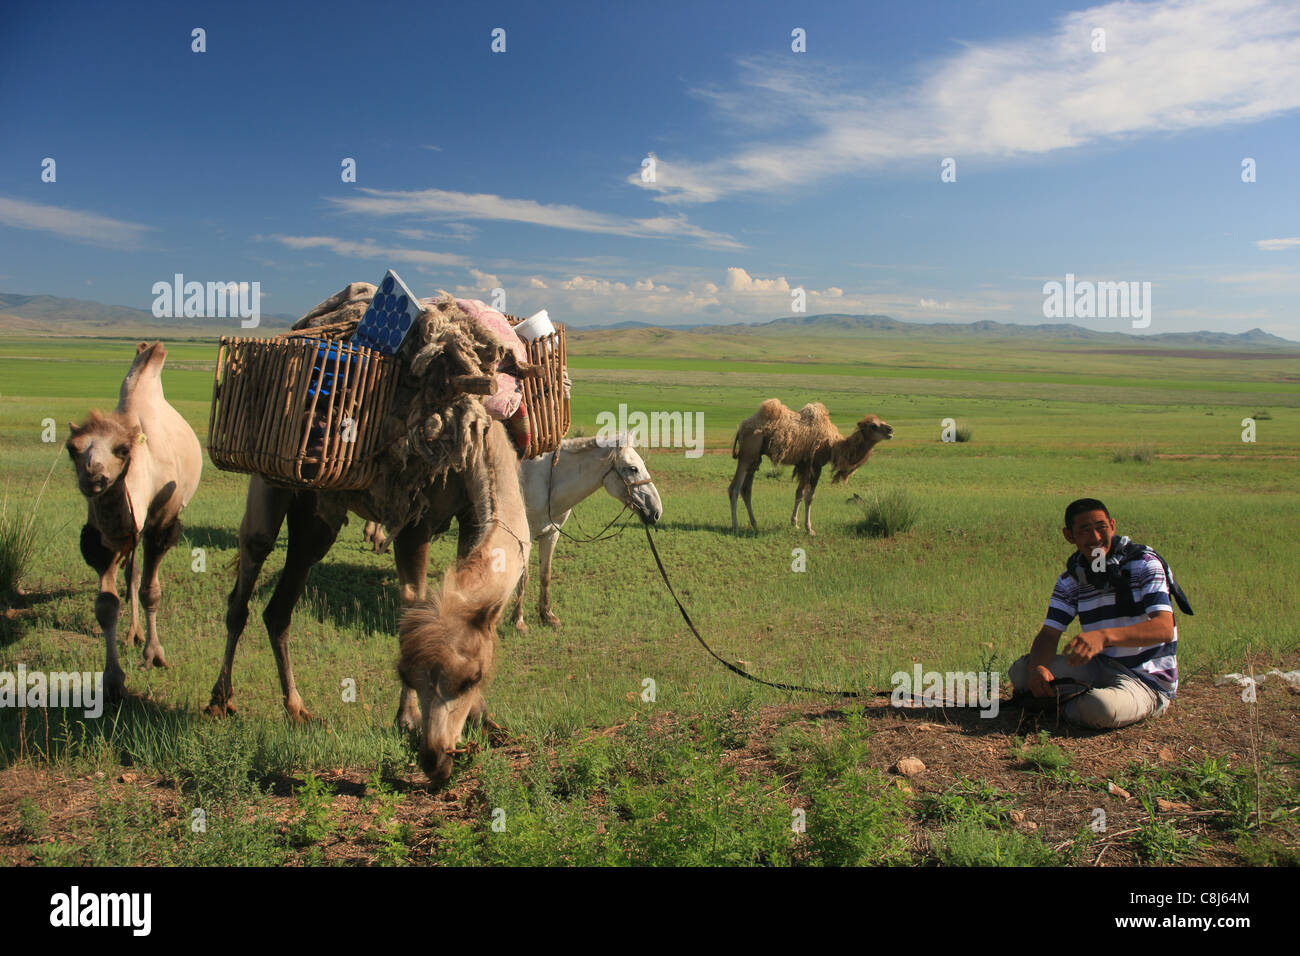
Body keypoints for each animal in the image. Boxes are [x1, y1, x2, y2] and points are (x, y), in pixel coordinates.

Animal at [67, 343, 201, 702]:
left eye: (122, 450)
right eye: (73, 449)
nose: (94, 477)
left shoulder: (162, 522)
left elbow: (151, 591)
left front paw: (154, 655)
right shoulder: (101, 536)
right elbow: (106, 604)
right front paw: (113, 680)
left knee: (138, 576)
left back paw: (140, 636)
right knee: (130, 573)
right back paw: (132, 633)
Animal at [509, 434, 660, 632]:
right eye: (632, 468)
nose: (656, 511)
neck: (544, 484)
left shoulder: (550, 534)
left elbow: (545, 574)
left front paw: (547, 616)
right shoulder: (526, 539)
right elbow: (523, 578)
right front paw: (518, 621)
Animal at [728, 398, 889, 538]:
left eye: (883, 421)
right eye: (873, 426)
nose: (890, 430)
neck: (833, 446)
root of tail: (741, 427)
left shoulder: (804, 465)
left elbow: (799, 493)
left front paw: (795, 523)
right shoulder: (816, 465)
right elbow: (810, 497)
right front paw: (809, 529)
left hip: (755, 459)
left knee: (746, 489)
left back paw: (754, 523)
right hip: (747, 455)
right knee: (734, 488)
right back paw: (735, 526)